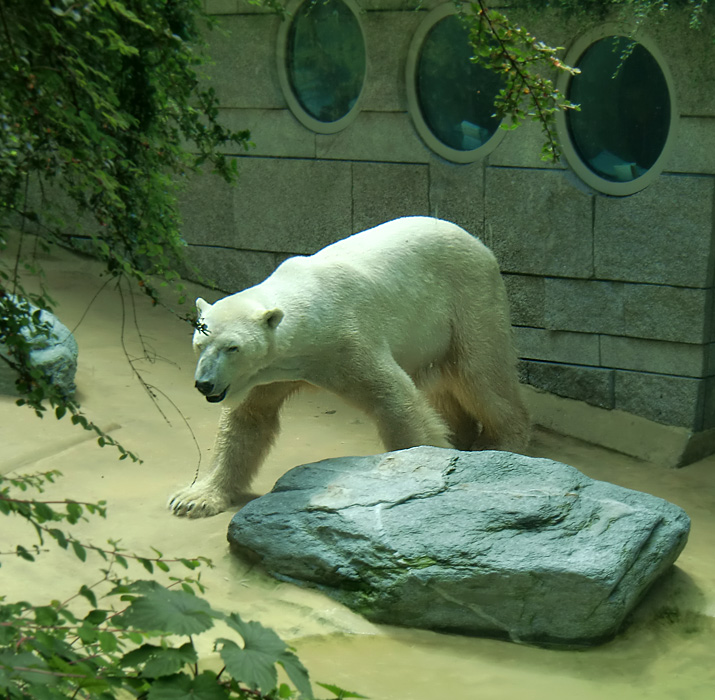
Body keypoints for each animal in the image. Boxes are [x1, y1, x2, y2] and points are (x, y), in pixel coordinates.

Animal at [166, 216, 524, 516]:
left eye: (233, 347)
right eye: (200, 344)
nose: (205, 384)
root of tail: (476, 240)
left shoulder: (347, 339)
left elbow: (396, 401)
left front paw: (422, 469)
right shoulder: (270, 372)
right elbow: (248, 419)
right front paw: (194, 498)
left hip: (469, 297)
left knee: (481, 373)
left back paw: (501, 443)